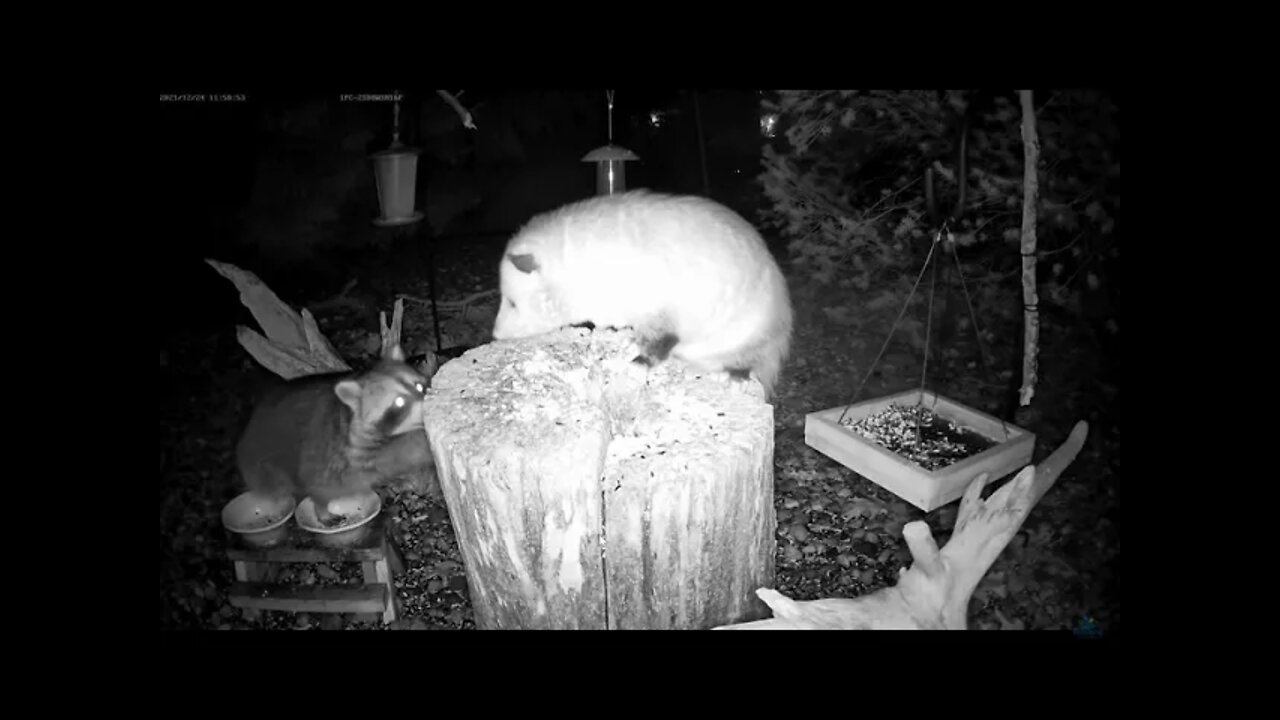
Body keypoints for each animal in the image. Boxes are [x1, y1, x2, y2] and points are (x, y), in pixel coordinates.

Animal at [488, 188, 788, 394]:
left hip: (746, 336)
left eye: (512, 302)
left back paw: (735, 375)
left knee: (749, 360)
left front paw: (639, 363)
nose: (495, 334)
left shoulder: (665, 306)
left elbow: (663, 341)